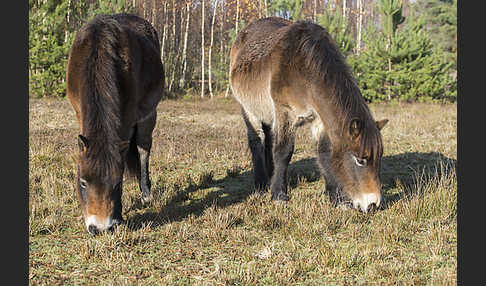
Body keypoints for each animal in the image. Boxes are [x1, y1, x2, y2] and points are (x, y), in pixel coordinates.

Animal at [66, 12, 165, 235]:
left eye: (118, 183)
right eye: (83, 182)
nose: (100, 228)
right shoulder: (79, 112)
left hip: (148, 116)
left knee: (143, 150)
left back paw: (146, 193)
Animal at [230, 16, 390, 212]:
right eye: (360, 160)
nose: (373, 204)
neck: (303, 67)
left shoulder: (319, 119)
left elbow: (324, 152)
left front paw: (336, 198)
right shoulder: (285, 113)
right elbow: (283, 151)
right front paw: (278, 195)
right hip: (249, 110)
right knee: (256, 142)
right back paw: (261, 185)